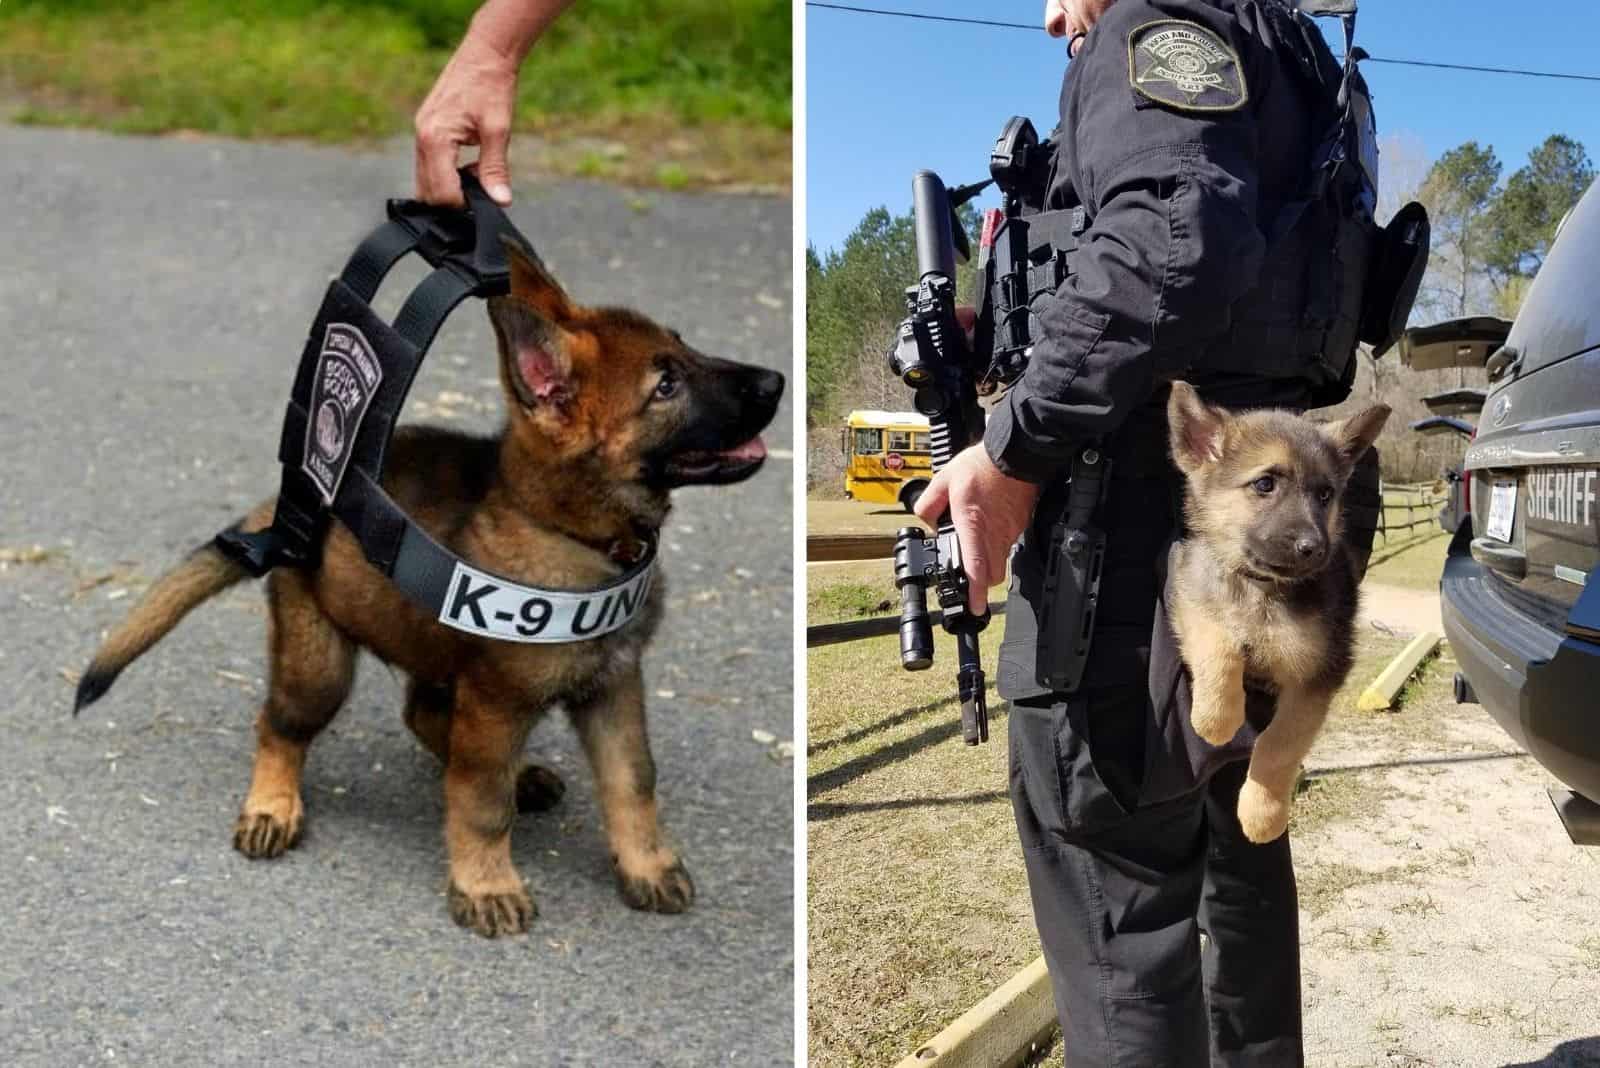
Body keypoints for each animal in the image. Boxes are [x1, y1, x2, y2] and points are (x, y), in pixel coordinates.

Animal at [75, 241, 787, 933]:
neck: (571, 533)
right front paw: (487, 883)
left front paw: (646, 864)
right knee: (281, 724)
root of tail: (286, 506)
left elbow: (632, 781)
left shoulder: (613, 685)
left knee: (423, 715)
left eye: (685, 349)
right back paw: (272, 805)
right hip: (320, 663)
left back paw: (519, 775)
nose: (776, 381)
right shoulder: (497, 702)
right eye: (666, 385)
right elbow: (480, 802)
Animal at [1164, 383, 1388, 844]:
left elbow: (1279, 744)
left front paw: (1262, 815)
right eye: (1265, 484)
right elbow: (1217, 647)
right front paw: (1215, 719)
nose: (1314, 549)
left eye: (1325, 495)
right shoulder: (1190, 596)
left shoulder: (1317, 677)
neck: (1261, 591)